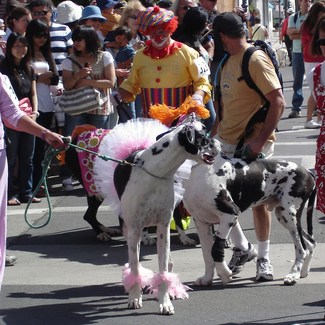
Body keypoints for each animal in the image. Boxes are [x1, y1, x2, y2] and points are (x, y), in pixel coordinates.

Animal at [184, 138, 316, 284]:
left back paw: (293, 274)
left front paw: (224, 273)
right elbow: (207, 255)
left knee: (302, 249)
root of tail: (308, 172)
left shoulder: (230, 214)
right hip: (285, 217)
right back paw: (303, 272)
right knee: (311, 243)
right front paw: (207, 278)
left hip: (288, 214)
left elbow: (216, 250)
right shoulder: (202, 222)